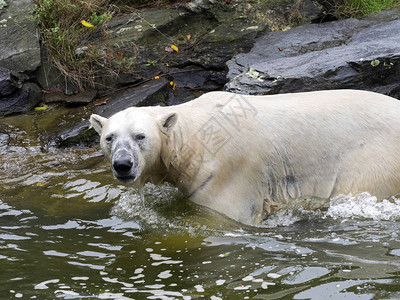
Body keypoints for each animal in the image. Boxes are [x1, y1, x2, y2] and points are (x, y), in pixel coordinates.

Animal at [89, 89, 400, 225]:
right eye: (109, 137)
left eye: (140, 136)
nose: (123, 165)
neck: (195, 138)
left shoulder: (228, 175)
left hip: (372, 159)